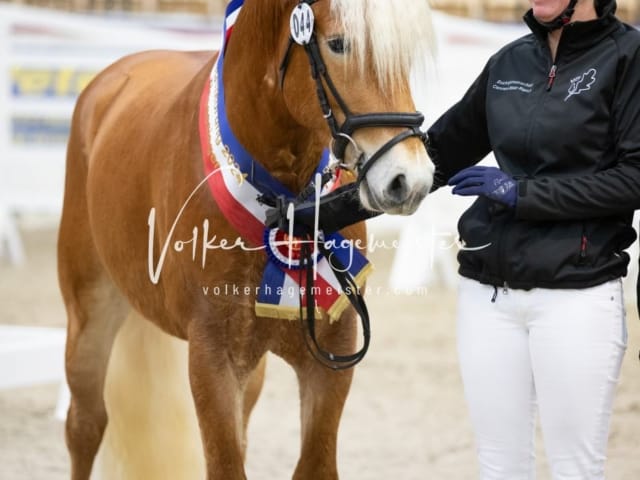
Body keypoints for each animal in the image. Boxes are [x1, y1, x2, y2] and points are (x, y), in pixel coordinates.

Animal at [58, 0, 436, 478]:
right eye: (338, 45)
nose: (410, 180)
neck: (286, 204)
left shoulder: (332, 354)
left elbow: (313, 464)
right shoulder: (212, 358)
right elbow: (225, 463)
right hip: (90, 314)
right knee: (85, 425)